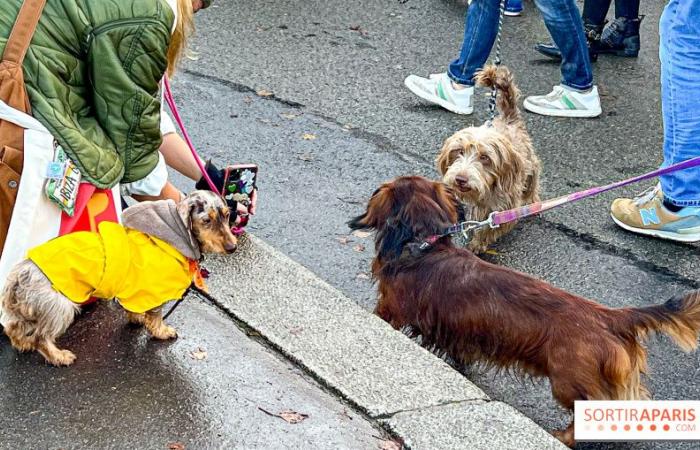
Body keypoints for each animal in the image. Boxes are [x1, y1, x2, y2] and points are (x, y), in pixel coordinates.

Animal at [0, 190, 237, 366]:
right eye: (206, 220)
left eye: (227, 215)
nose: (232, 247)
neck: (172, 238)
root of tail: (18, 277)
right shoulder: (154, 292)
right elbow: (156, 317)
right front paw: (162, 331)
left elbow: (133, 310)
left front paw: (137, 319)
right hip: (60, 306)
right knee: (41, 338)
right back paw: (58, 356)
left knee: (14, 328)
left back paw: (22, 344)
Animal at [438, 66, 540, 253]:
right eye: (459, 151)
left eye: (484, 157)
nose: (461, 179)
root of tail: (509, 118)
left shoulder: (505, 208)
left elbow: (490, 228)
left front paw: (477, 243)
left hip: (531, 165)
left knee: (532, 184)